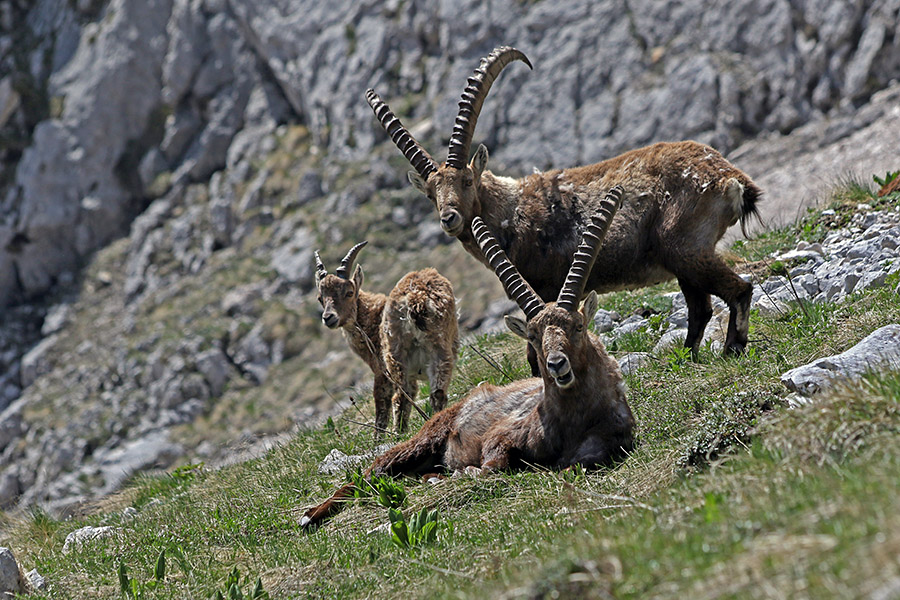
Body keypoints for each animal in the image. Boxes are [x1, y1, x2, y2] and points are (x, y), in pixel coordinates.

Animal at [315, 241, 459, 435]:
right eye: (320, 298)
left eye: (349, 292)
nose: (328, 318)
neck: (371, 323)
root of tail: (416, 299)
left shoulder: (381, 372)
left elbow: (381, 406)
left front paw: (378, 438)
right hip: (438, 348)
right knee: (436, 393)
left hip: (394, 355)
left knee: (400, 397)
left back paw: (398, 434)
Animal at [366, 46, 762, 362]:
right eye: (430, 193)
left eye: (466, 181)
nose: (448, 218)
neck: (512, 213)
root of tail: (730, 176)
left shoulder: (545, 287)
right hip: (682, 259)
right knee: (700, 309)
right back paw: (689, 357)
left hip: (684, 246)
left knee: (737, 291)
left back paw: (732, 349)